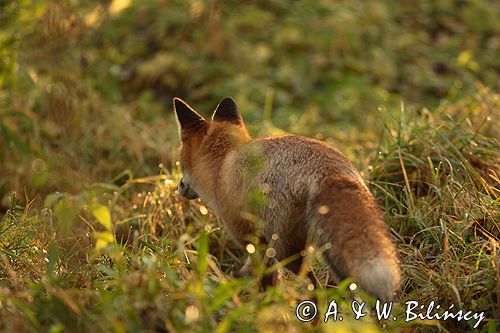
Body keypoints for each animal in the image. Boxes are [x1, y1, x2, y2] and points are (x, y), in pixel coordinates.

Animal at [174, 96, 400, 300]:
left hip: (287, 250)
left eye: (181, 162)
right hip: (330, 252)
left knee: (314, 288)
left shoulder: (252, 239)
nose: (179, 187)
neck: (223, 164)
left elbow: (264, 282)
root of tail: (327, 169)